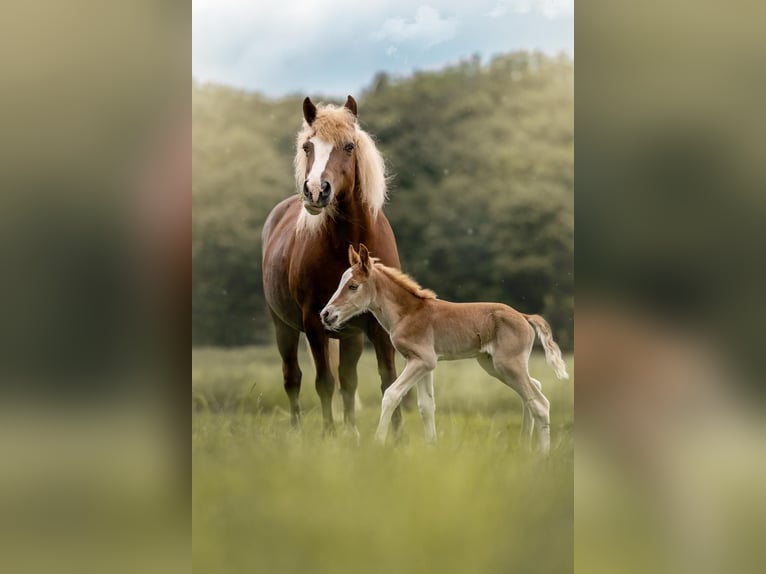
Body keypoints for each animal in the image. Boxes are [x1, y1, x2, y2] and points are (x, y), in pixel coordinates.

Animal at [264, 97, 404, 436]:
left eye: (349, 147)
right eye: (307, 146)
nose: (316, 191)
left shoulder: (378, 327)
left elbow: (387, 380)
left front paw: (396, 437)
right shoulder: (314, 323)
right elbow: (324, 382)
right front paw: (328, 436)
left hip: (350, 334)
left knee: (348, 380)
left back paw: (351, 432)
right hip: (284, 327)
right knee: (293, 378)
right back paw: (298, 433)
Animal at [320, 245, 568, 452]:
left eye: (353, 286)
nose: (326, 314)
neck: (408, 313)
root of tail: (524, 317)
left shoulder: (422, 360)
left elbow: (391, 395)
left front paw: (378, 443)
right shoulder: (423, 364)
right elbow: (426, 406)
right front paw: (432, 448)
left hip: (508, 364)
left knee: (540, 402)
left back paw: (542, 455)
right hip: (493, 365)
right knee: (533, 391)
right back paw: (525, 444)